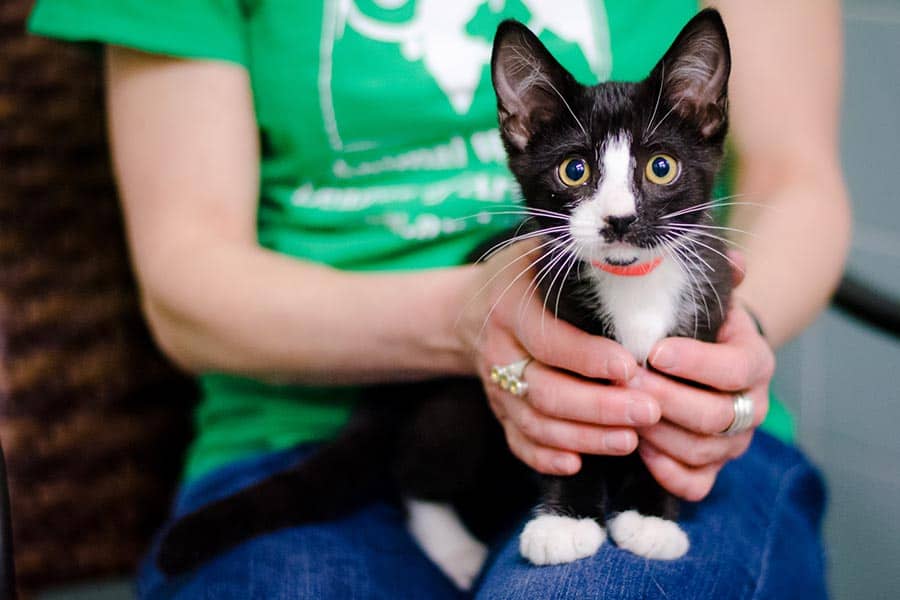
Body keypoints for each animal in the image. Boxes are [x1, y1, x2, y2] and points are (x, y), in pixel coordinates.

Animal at [158, 9, 736, 588]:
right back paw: (457, 550)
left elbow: (670, 434)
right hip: (457, 405)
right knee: (410, 471)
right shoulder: (554, 326)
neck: (633, 284)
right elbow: (573, 439)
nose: (619, 220)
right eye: (575, 171)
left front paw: (650, 517)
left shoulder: (703, 325)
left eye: (660, 166)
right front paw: (567, 522)